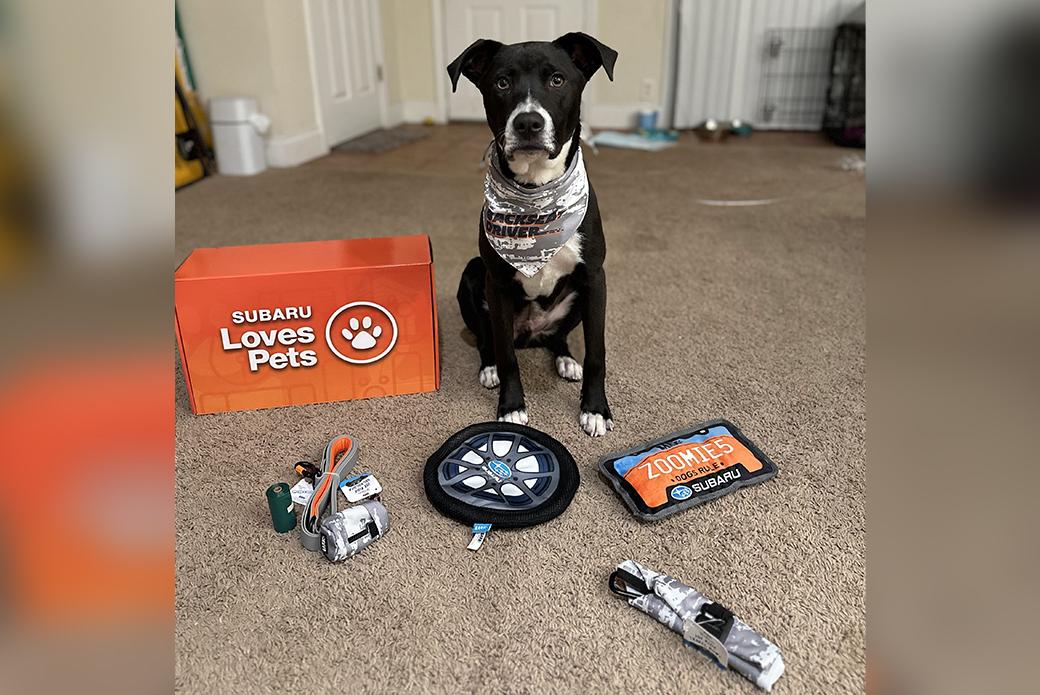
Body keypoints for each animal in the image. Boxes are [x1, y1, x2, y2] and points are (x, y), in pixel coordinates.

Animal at [449, 33, 611, 434]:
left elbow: (596, 351)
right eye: (501, 83)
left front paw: (595, 409)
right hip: (472, 275)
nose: (527, 123)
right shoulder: (496, 283)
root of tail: (530, 333)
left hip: (576, 301)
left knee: (559, 338)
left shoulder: (595, 278)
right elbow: (507, 356)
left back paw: (566, 360)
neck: (536, 189)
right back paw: (489, 368)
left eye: (557, 80)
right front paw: (510, 407)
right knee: (489, 340)